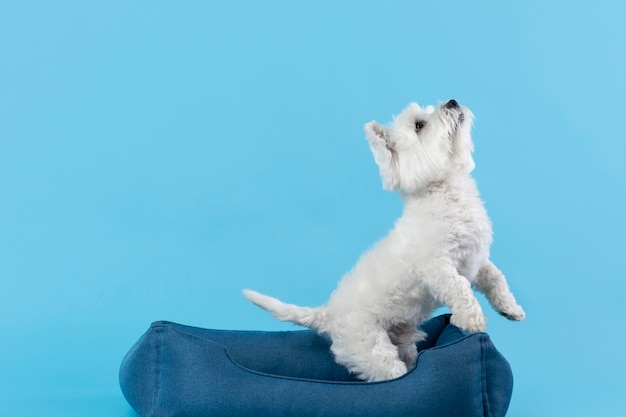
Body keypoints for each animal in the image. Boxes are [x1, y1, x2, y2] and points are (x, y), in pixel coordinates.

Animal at [241, 100, 524, 380]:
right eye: (419, 125)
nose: (452, 101)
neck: (443, 191)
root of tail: (327, 313)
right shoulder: (439, 267)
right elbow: (460, 288)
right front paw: (472, 318)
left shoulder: (476, 258)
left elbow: (496, 278)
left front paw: (509, 308)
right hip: (375, 353)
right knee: (393, 374)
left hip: (403, 344)